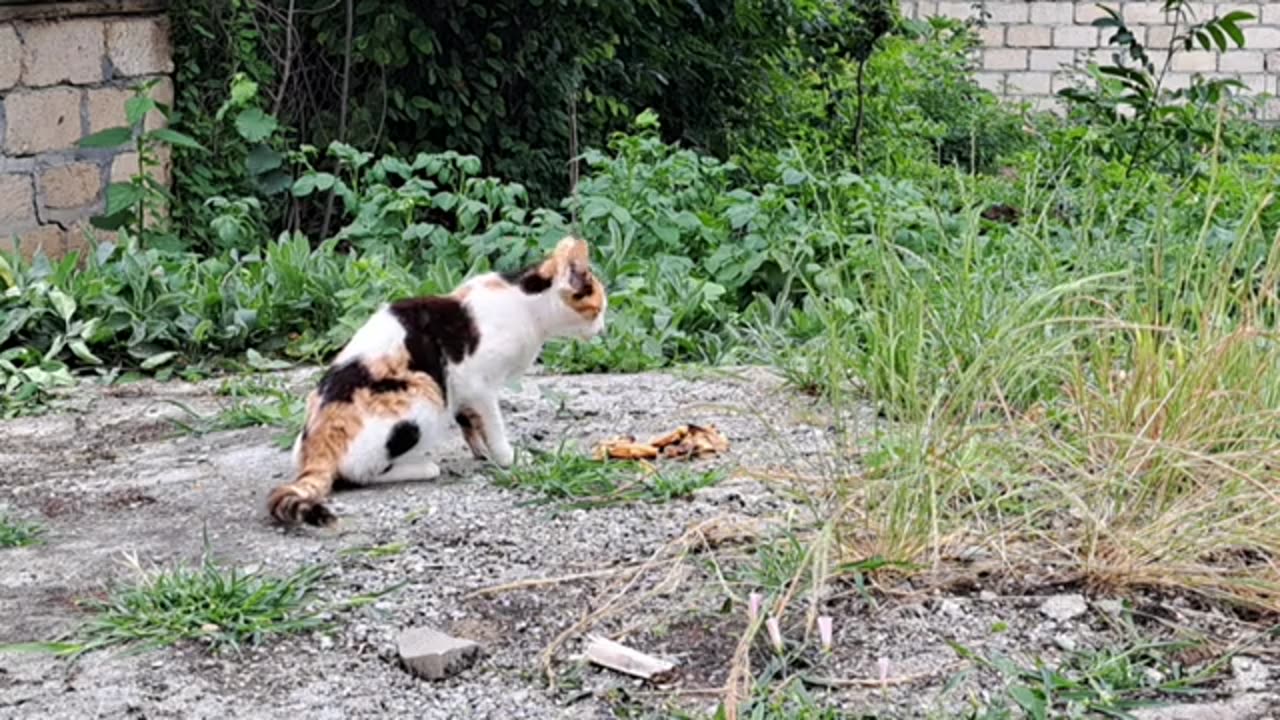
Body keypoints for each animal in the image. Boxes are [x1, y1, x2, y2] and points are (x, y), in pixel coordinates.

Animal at [264, 238, 604, 525]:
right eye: (599, 307)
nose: (602, 328)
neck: (525, 305)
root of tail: (318, 446)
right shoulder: (476, 383)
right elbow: (493, 424)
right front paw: (509, 458)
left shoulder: (459, 390)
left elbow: (470, 422)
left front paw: (482, 453)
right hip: (425, 394)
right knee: (358, 473)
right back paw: (425, 467)